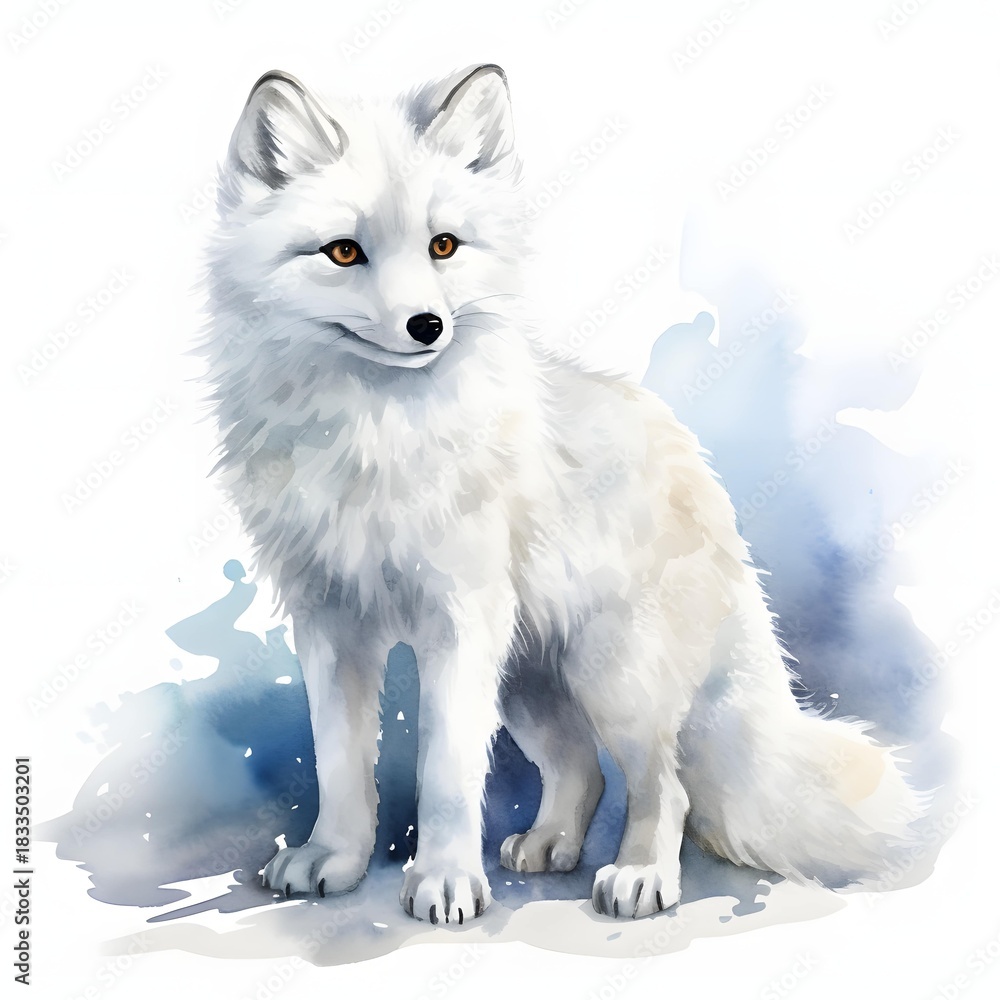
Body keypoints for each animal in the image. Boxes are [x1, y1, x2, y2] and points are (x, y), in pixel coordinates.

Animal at [200, 64, 924, 924]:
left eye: (444, 246)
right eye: (344, 252)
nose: (426, 326)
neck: (374, 436)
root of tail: (700, 472)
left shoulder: (458, 624)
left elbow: (447, 778)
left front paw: (445, 882)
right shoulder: (330, 624)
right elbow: (342, 765)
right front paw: (335, 861)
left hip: (614, 679)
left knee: (663, 784)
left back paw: (639, 876)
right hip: (531, 686)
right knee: (583, 769)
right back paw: (551, 848)